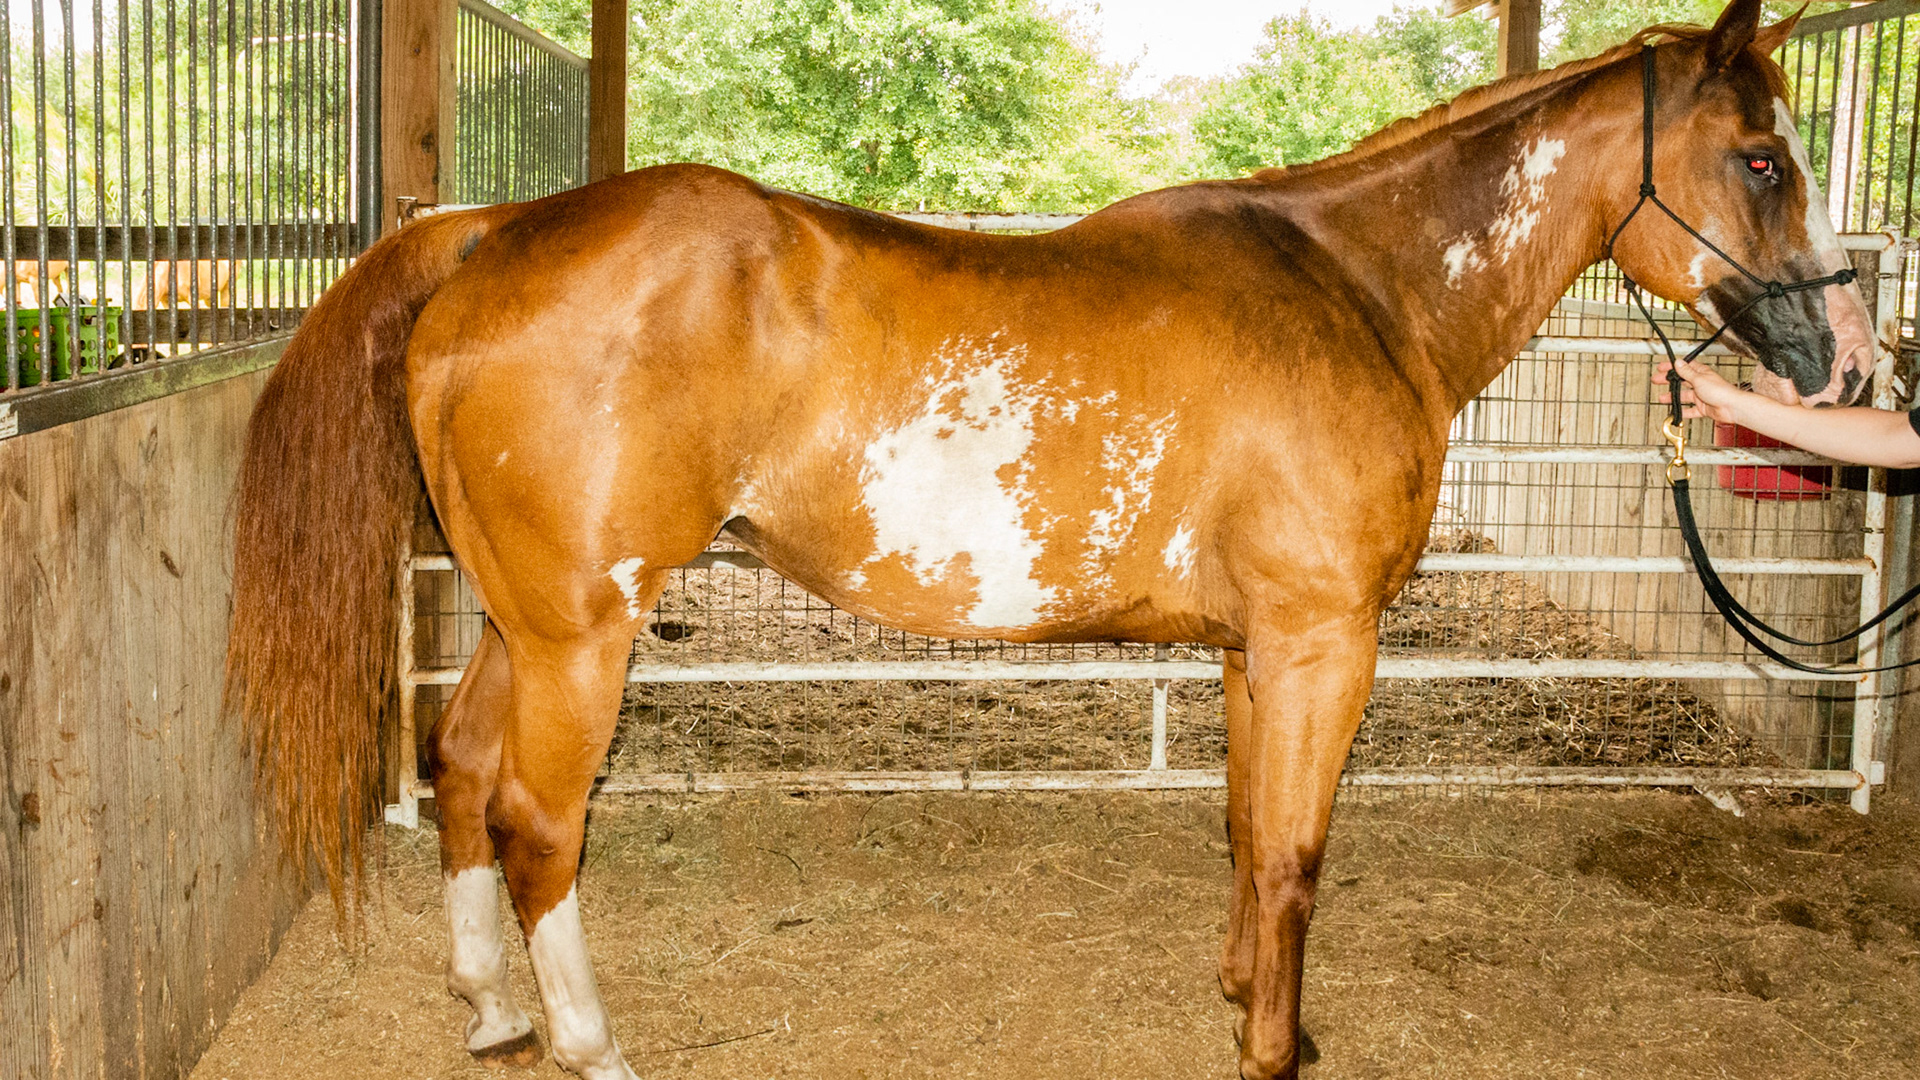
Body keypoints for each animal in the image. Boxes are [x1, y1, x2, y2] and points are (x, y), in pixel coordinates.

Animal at [225, 3, 1873, 1077]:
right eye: (1764, 159)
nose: (1845, 365)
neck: (1359, 288)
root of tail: (492, 233)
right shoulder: (1325, 639)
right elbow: (1298, 851)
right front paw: (1276, 1049)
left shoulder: (1254, 652)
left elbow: (1245, 831)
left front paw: (1242, 998)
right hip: (584, 635)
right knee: (538, 822)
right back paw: (585, 1040)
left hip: (527, 620)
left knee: (457, 769)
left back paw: (494, 1009)